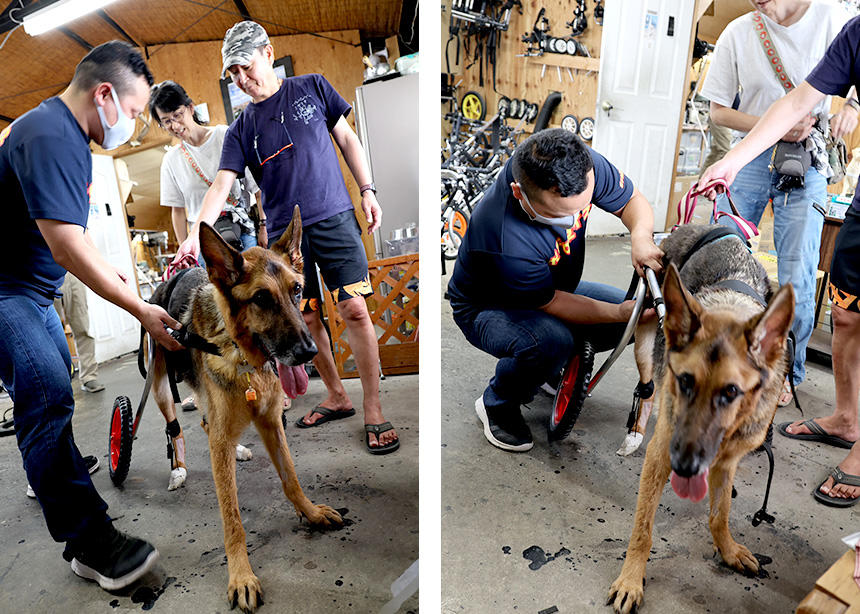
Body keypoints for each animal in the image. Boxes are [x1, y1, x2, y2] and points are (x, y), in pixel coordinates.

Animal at [148, 209, 342, 612]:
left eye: (297, 290)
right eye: (261, 298)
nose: (309, 352)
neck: (242, 357)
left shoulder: (271, 424)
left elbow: (290, 478)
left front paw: (311, 513)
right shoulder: (226, 436)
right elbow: (232, 517)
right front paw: (241, 576)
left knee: (206, 425)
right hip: (160, 387)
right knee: (177, 426)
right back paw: (178, 468)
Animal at [604, 226, 792, 614]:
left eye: (731, 392)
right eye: (685, 382)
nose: (686, 465)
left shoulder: (727, 461)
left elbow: (720, 514)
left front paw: (728, 550)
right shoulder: (662, 452)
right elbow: (643, 530)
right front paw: (631, 580)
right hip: (644, 342)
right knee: (647, 389)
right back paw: (634, 434)